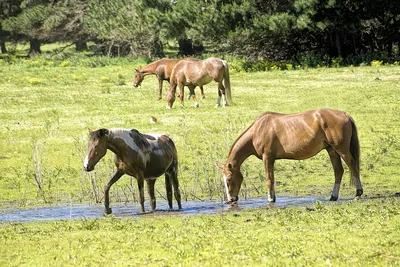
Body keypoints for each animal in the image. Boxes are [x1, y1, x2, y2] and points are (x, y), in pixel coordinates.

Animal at [217, 109, 364, 205]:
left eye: (229, 179)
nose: (231, 200)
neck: (257, 130)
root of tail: (346, 115)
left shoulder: (267, 157)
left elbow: (269, 179)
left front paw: (270, 199)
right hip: (332, 150)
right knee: (338, 171)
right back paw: (333, 196)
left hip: (341, 149)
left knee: (353, 167)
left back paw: (358, 194)